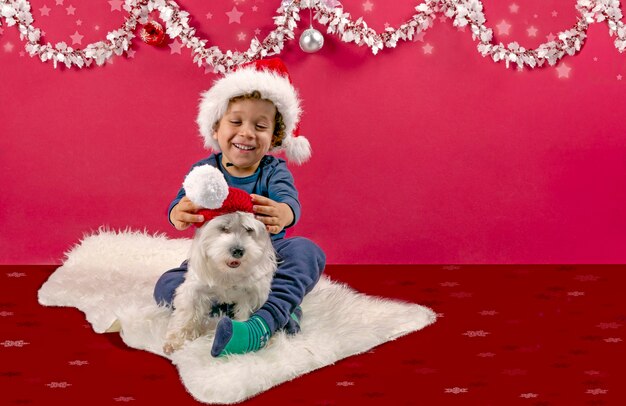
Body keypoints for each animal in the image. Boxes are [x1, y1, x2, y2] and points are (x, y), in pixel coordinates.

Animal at [162, 211, 274, 354]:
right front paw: (176, 340)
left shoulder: (250, 294)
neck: (227, 272)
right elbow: (187, 313)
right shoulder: (193, 290)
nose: (238, 251)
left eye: (249, 230)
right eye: (224, 228)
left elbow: (244, 313)